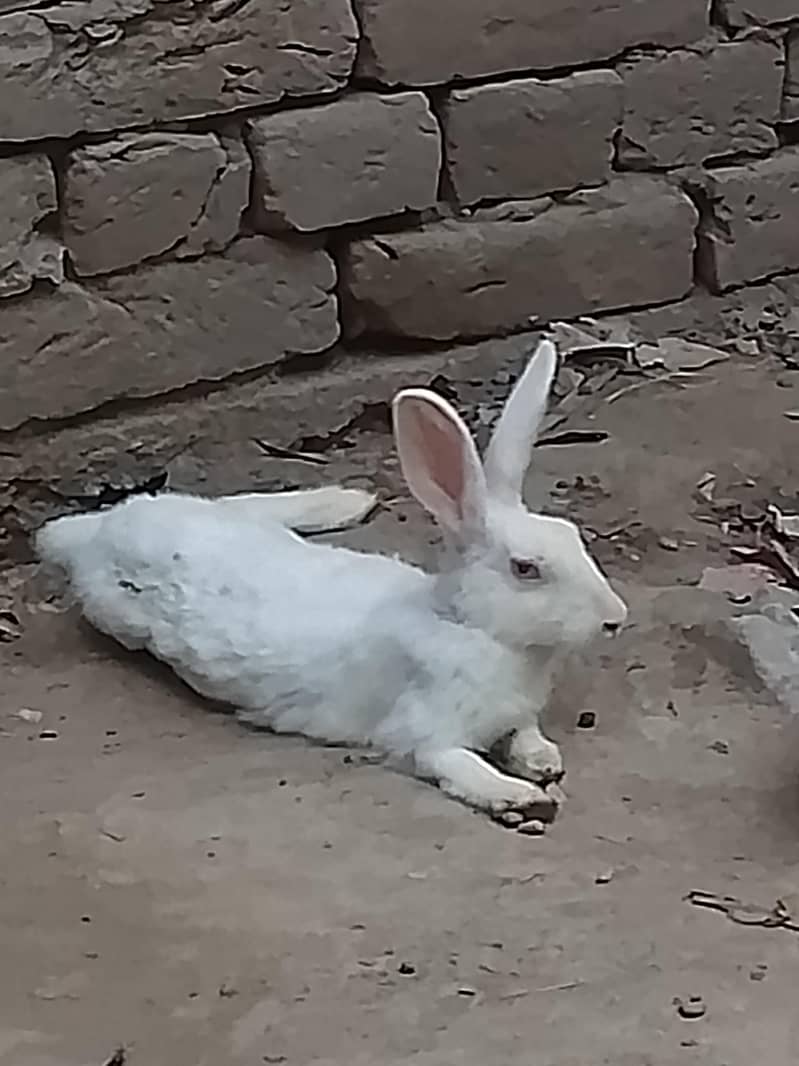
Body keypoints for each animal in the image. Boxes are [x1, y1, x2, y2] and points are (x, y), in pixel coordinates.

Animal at [35, 339, 626, 821]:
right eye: (526, 569)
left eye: (573, 535)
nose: (615, 618)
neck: (472, 626)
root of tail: (98, 529)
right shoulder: (424, 732)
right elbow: (455, 765)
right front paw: (520, 798)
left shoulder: (515, 716)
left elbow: (526, 736)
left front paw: (544, 762)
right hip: (116, 612)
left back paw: (345, 500)